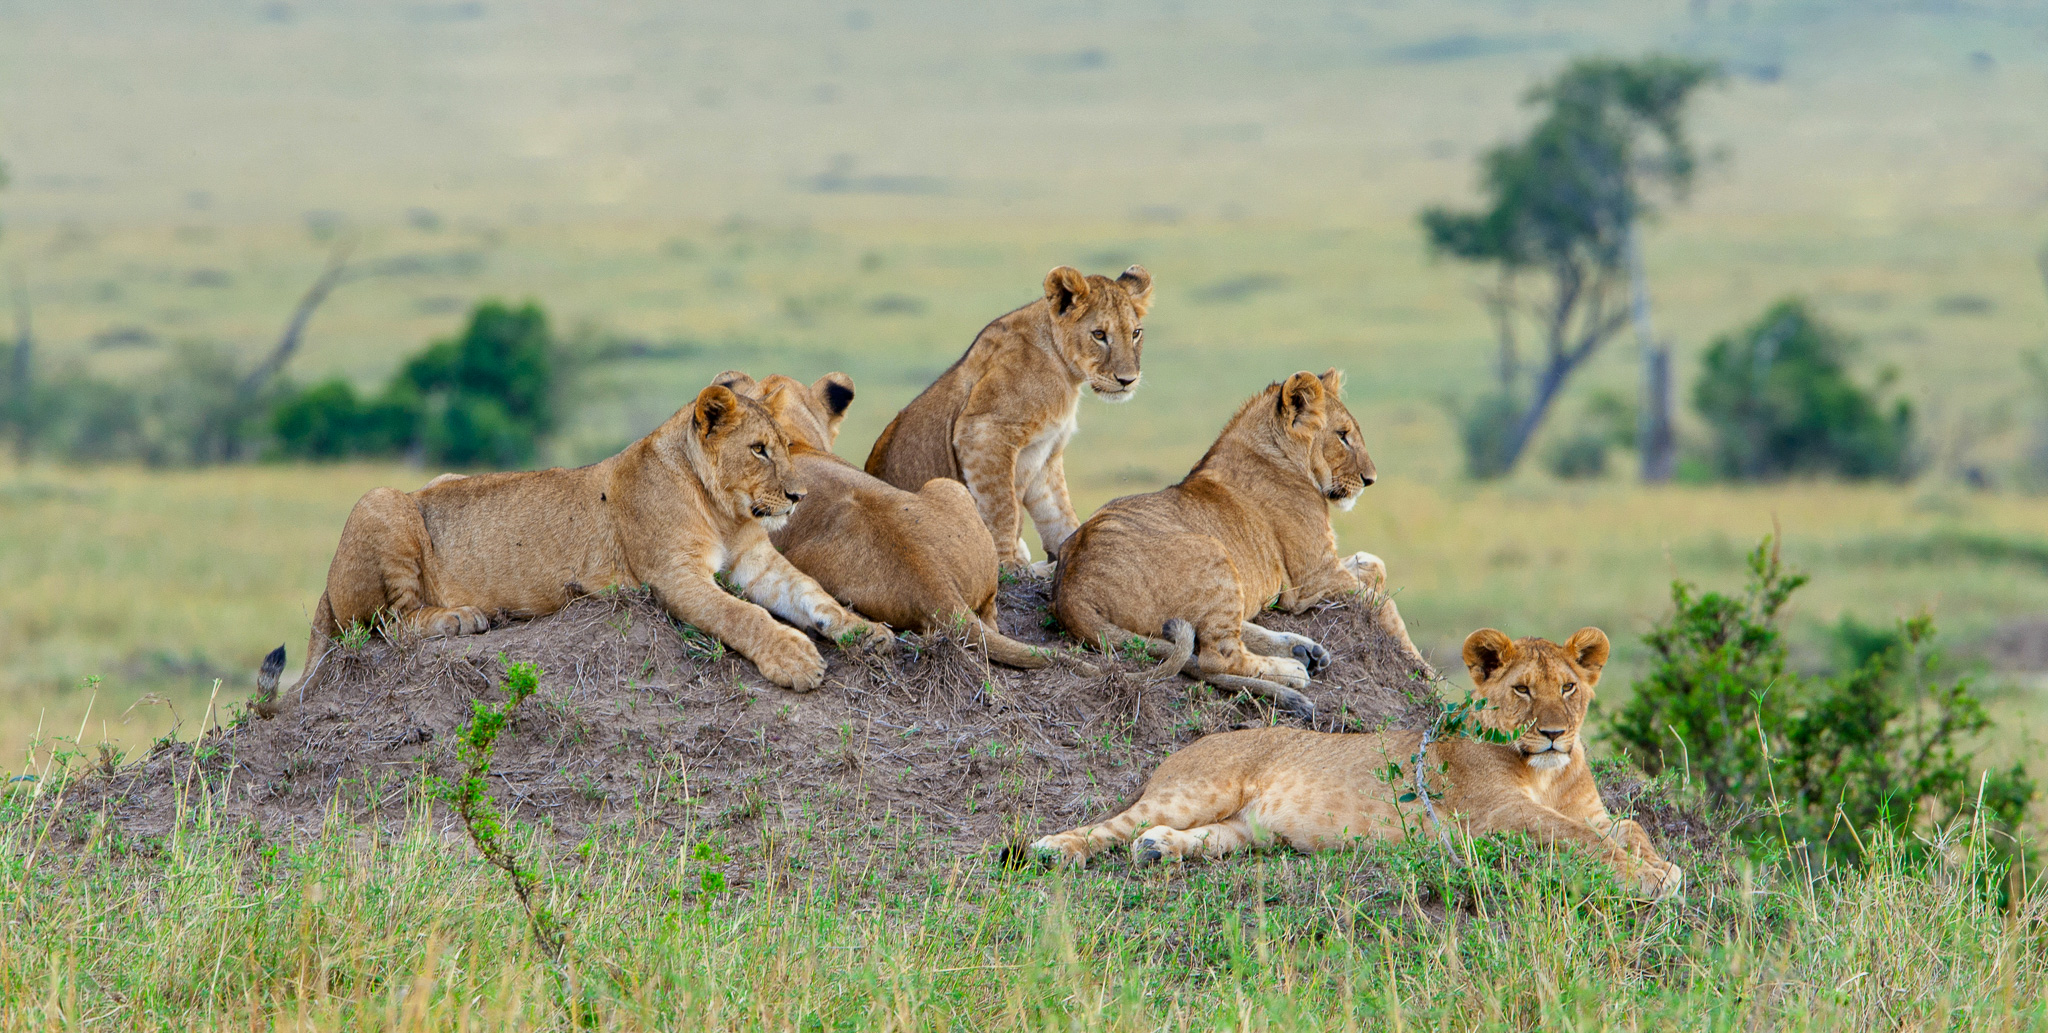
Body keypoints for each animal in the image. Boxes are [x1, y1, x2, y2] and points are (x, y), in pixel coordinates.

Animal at [280, 384, 892, 697]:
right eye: (759, 450)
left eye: (788, 447)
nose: (798, 496)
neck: (723, 511)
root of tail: (325, 589)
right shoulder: (672, 575)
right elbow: (741, 615)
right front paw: (794, 659)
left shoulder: (756, 562)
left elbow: (813, 595)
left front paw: (867, 632)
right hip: (380, 500)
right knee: (385, 625)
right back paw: (461, 617)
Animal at [865, 265, 1153, 573]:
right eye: (1099, 334)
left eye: (1135, 333)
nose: (1128, 380)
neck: (1064, 371)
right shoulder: (983, 432)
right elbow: (1002, 506)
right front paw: (1007, 563)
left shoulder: (1046, 454)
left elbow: (1058, 513)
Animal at [1029, 627, 1686, 901]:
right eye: (1523, 690)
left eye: (1569, 687)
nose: (1553, 734)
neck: (1545, 774)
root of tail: (1189, 746)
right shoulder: (1497, 815)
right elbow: (1578, 837)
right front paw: (1649, 878)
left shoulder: (1590, 810)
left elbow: (1628, 826)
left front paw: (1661, 866)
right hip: (1195, 790)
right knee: (1110, 825)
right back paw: (1054, 849)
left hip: (1245, 831)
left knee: (1188, 837)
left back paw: (1159, 849)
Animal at [1051, 369, 1421, 718]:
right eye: (1342, 435)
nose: (1370, 480)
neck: (1277, 453)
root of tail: (1071, 592)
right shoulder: (1313, 578)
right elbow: (1383, 604)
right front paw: (1422, 670)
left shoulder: (1323, 568)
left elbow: (1374, 565)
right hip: (1214, 552)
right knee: (1218, 658)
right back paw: (1293, 669)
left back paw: (1303, 650)